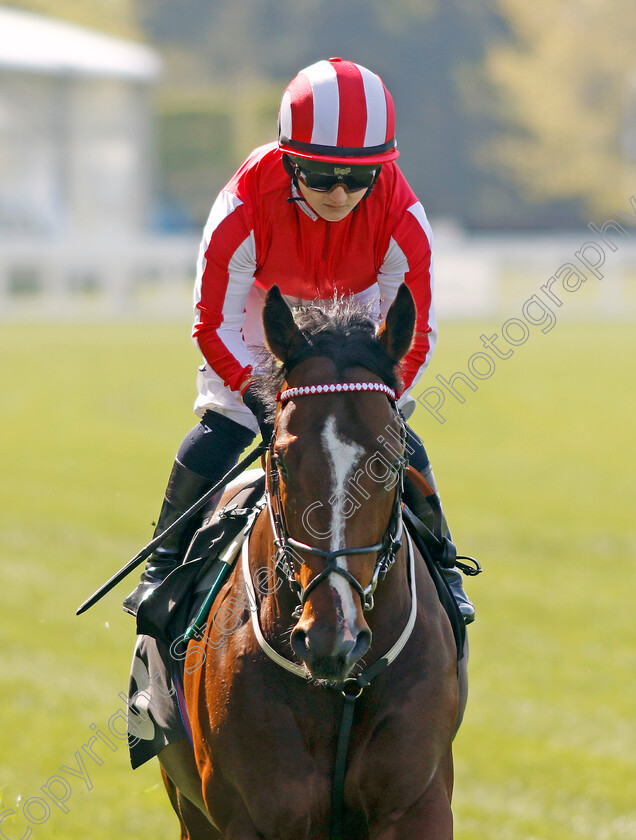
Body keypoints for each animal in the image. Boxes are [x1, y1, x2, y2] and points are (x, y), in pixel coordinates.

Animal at [159, 284, 468, 840]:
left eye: (391, 461)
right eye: (279, 458)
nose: (330, 636)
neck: (338, 687)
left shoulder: (419, 802)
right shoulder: (245, 813)